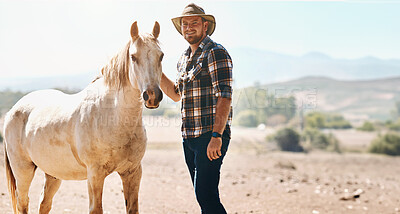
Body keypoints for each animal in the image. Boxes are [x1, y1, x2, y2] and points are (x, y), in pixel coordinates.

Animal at [3, 20, 162, 214]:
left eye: (161, 56)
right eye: (133, 57)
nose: (152, 95)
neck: (114, 117)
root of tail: (12, 111)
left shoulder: (132, 172)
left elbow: (132, 209)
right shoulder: (95, 175)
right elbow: (96, 209)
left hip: (53, 173)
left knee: (44, 203)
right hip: (23, 170)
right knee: (23, 203)